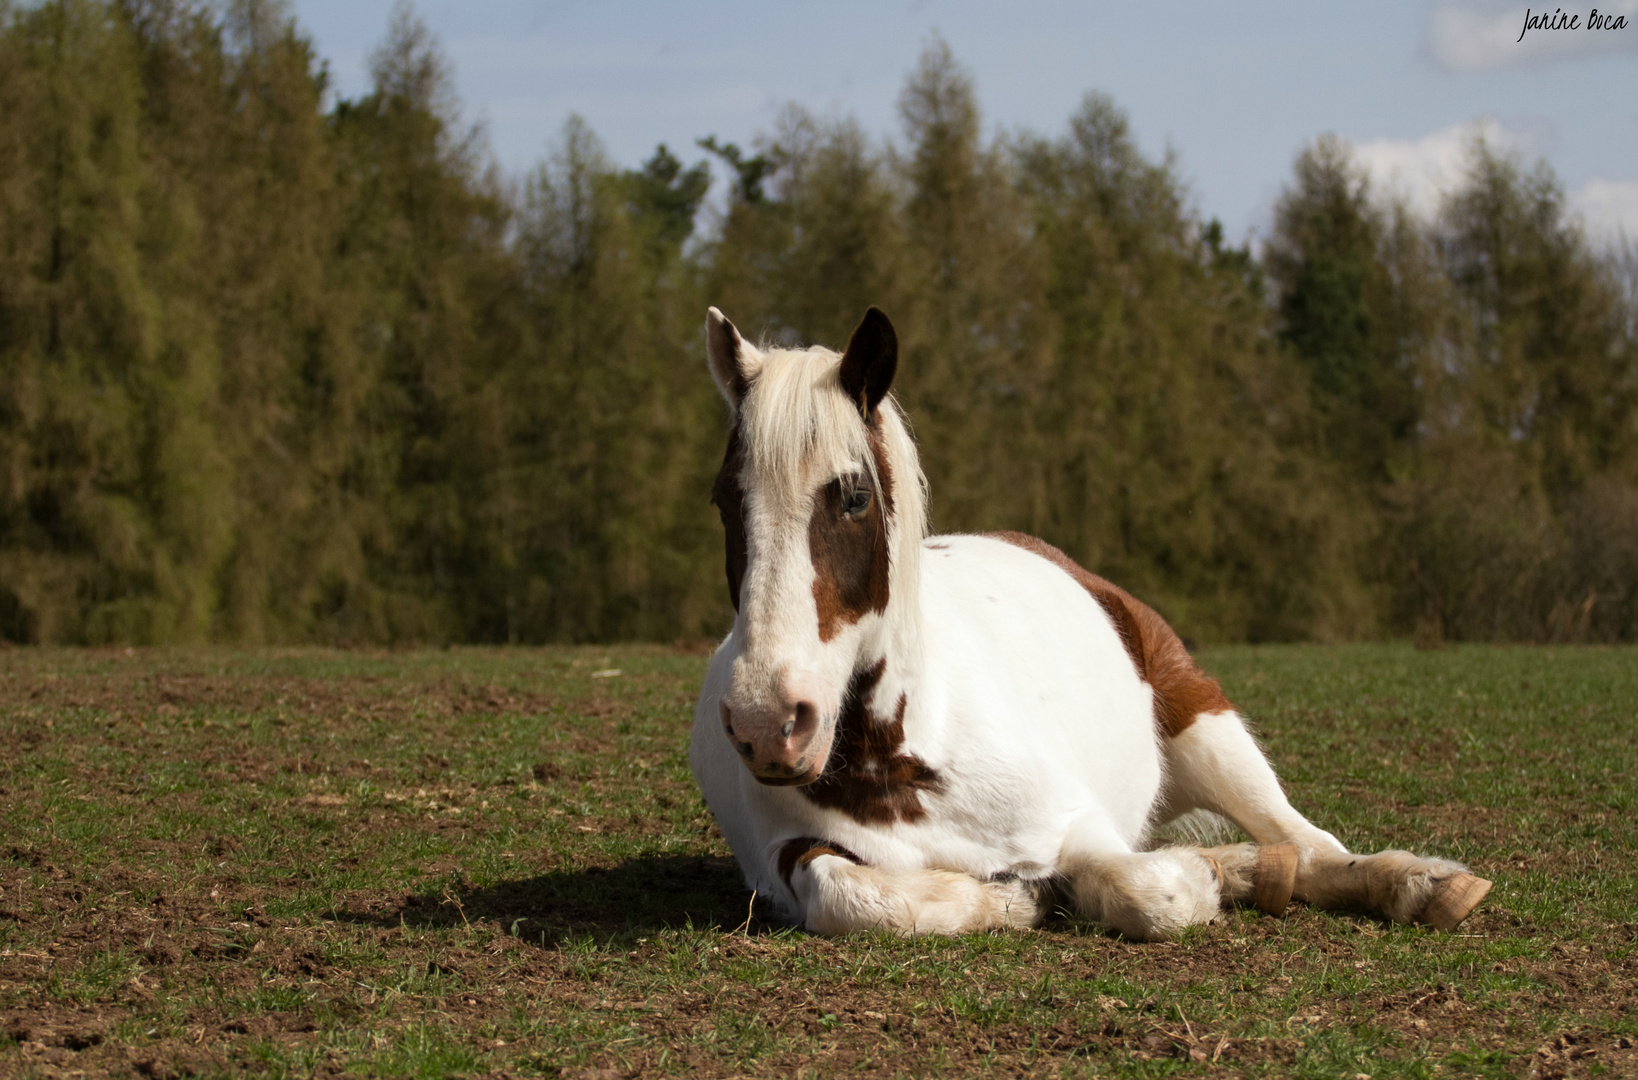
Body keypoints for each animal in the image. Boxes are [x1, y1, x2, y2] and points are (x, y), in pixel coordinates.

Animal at [691, 308, 1500, 943]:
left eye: (854, 497)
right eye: (726, 501)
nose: (767, 723)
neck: (905, 756)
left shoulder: (1079, 822)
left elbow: (1154, 891)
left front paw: (1178, 883)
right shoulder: (793, 857)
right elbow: (851, 896)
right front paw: (1011, 899)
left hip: (1206, 724)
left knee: (1307, 841)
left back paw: (1417, 885)